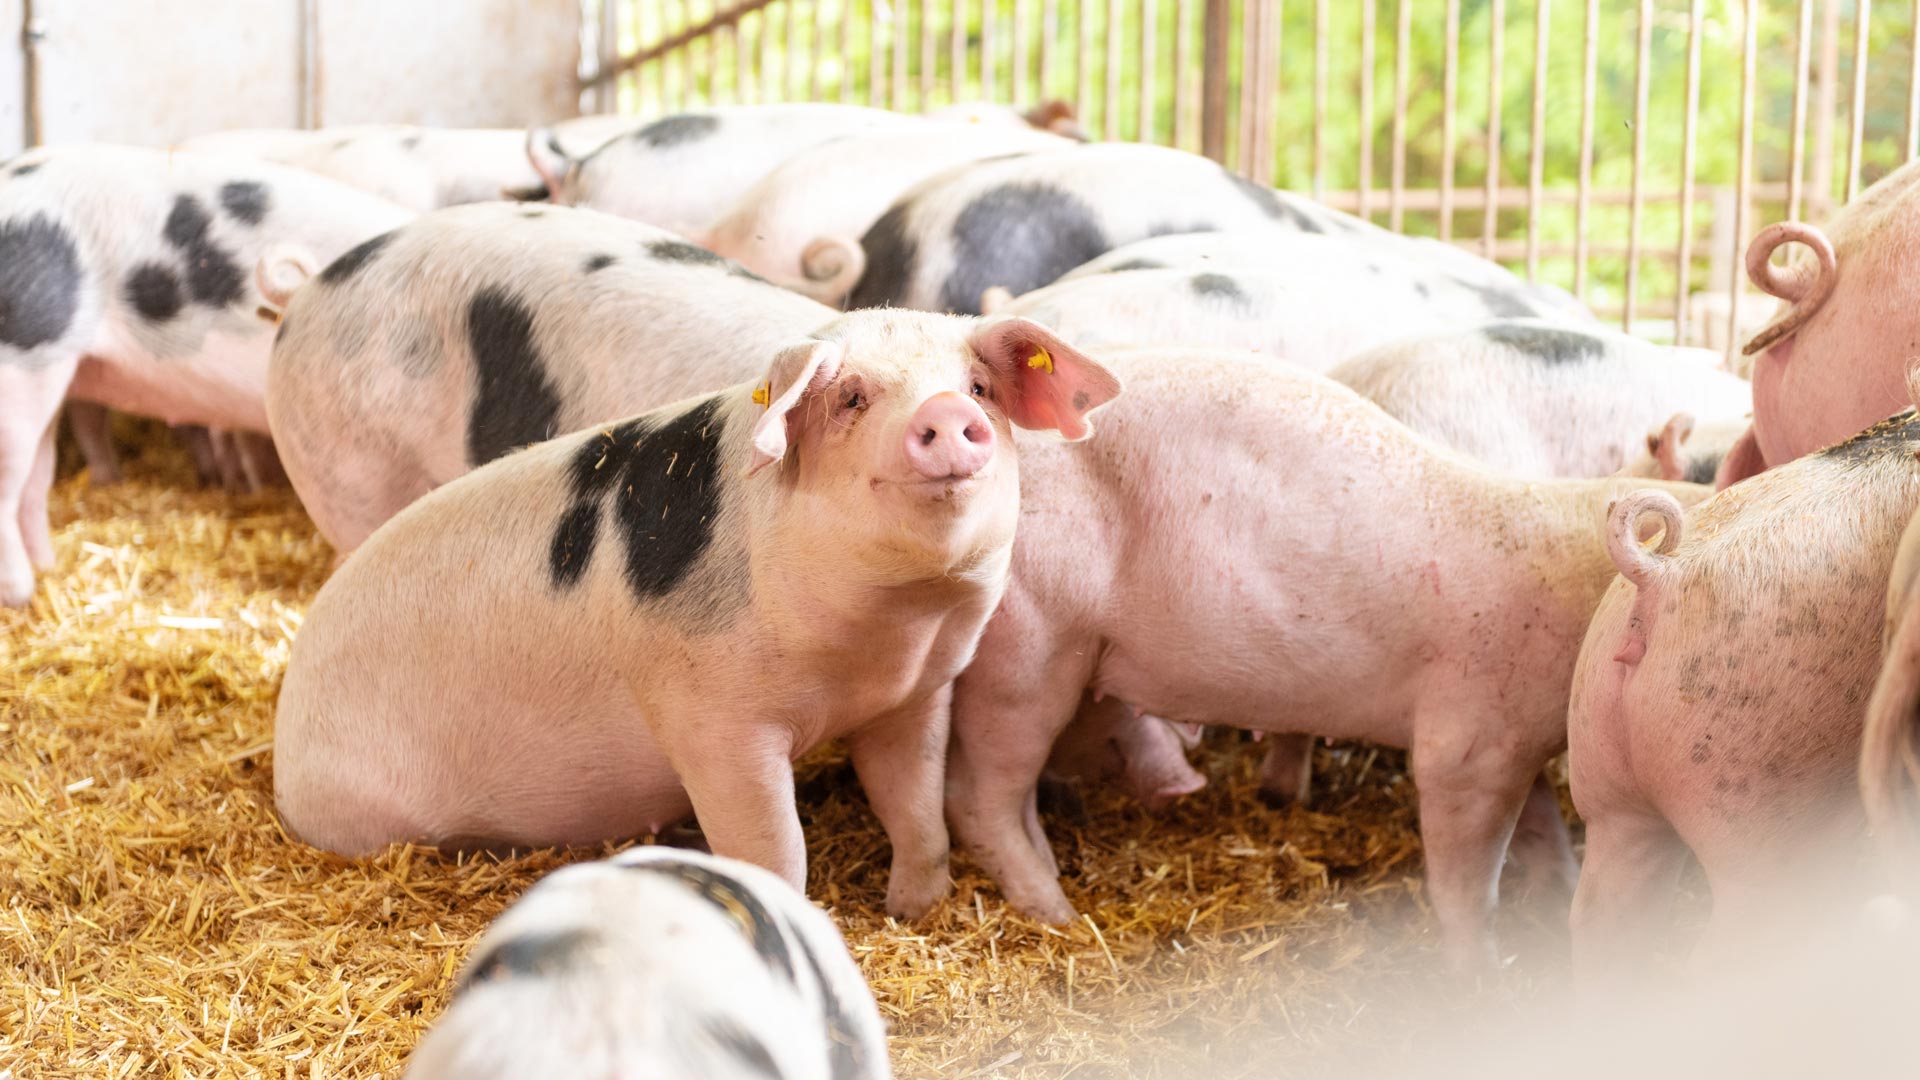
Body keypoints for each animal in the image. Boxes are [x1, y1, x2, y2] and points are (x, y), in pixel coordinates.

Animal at [0, 144, 413, 607]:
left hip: (52, 368)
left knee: (35, 481)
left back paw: (45, 570)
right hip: (19, 352)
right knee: (8, 487)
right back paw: (19, 593)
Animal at [272, 309, 1122, 921]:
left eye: (978, 387)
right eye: (852, 397)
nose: (945, 410)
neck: (884, 638)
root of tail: (285, 730)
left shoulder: (914, 697)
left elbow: (915, 809)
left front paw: (911, 912)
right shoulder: (714, 722)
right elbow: (775, 850)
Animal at [930, 345, 1708, 966]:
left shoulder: (1518, 740)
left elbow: (1547, 836)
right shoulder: (1470, 741)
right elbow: (1467, 881)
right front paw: (1485, 971)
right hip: (1028, 653)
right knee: (977, 796)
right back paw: (1057, 912)